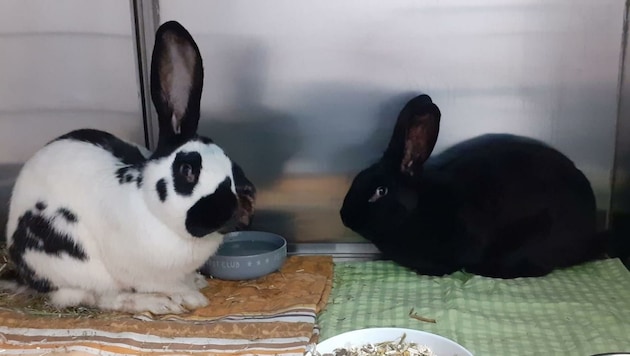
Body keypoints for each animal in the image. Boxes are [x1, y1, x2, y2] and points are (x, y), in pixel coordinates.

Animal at [3, 21, 254, 314]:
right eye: (187, 170)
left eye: (232, 163)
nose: (245, 202)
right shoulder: (140, 272)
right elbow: (163, 285)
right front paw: (189, 297)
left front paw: (195, 282)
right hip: (76, 266)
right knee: (101, 298)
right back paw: (156, 303)